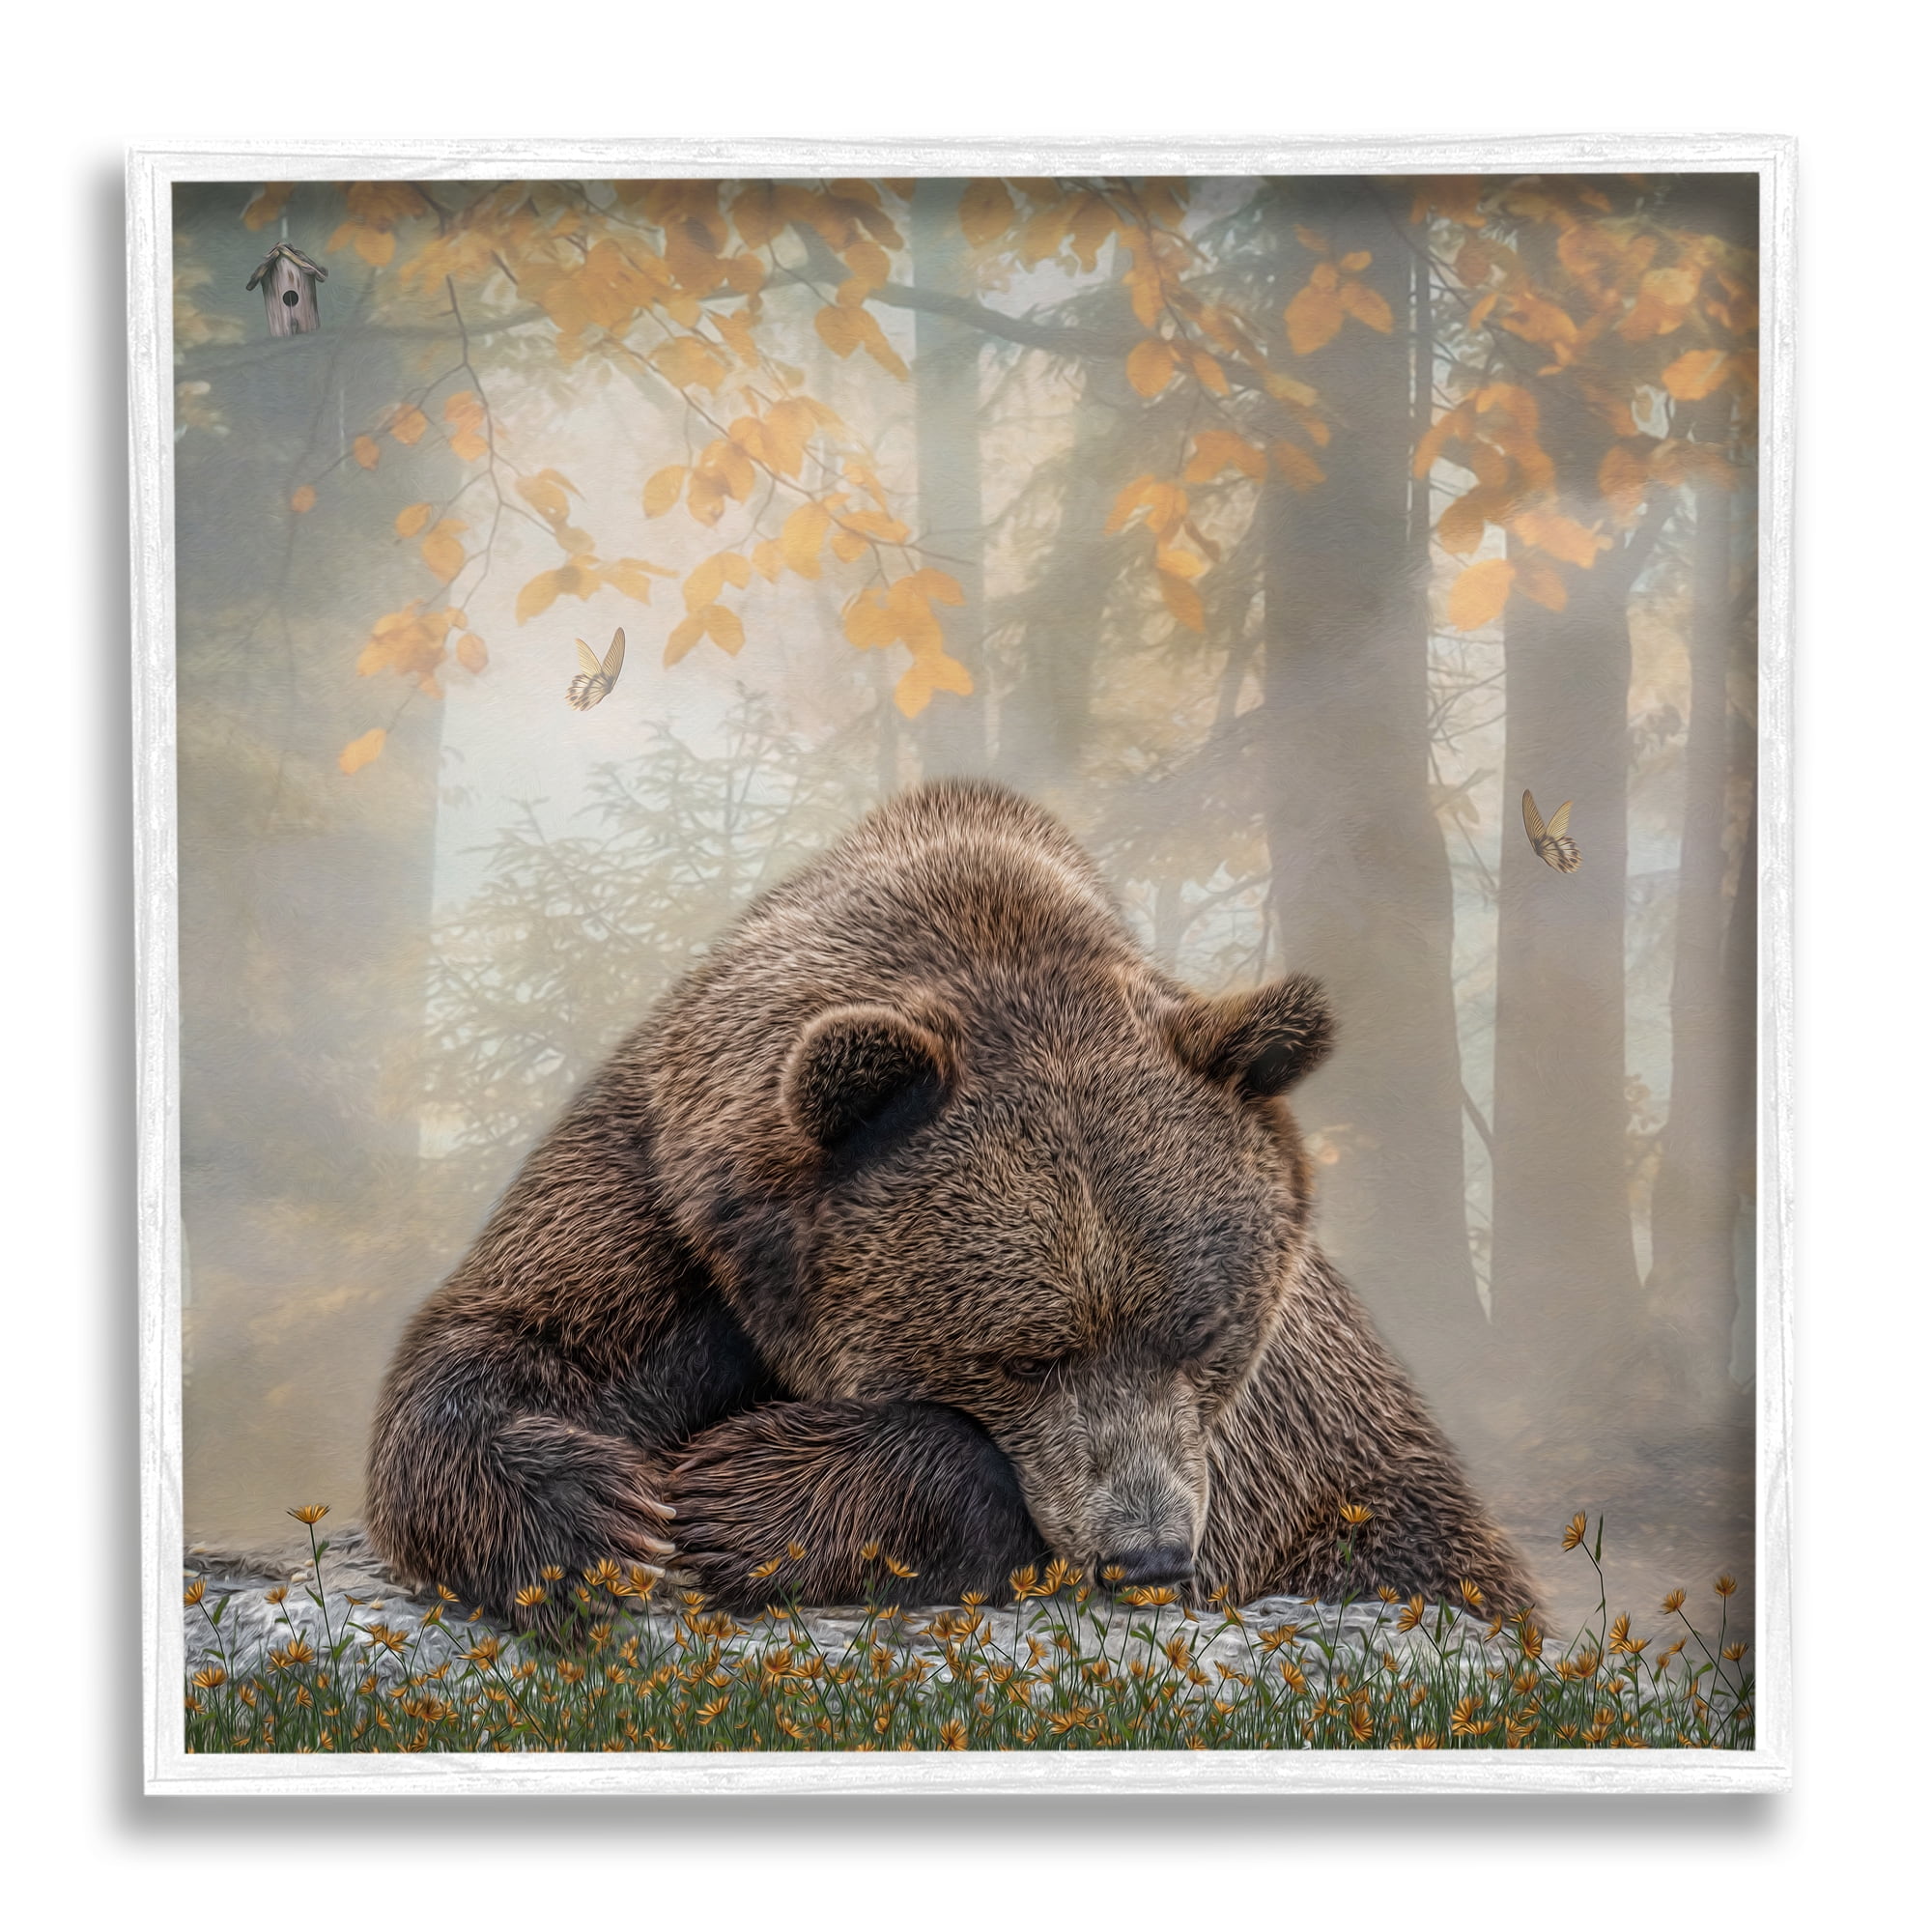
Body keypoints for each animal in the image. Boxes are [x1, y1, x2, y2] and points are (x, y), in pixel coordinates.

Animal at [367, 779, 1534, 1622]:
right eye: (1019, 1354)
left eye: (1205, 1332)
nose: (1147, 1552)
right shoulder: (670, 1190)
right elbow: (514, 1339)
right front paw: (592, 1520)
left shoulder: (1262, 1441)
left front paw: (731, 1501)